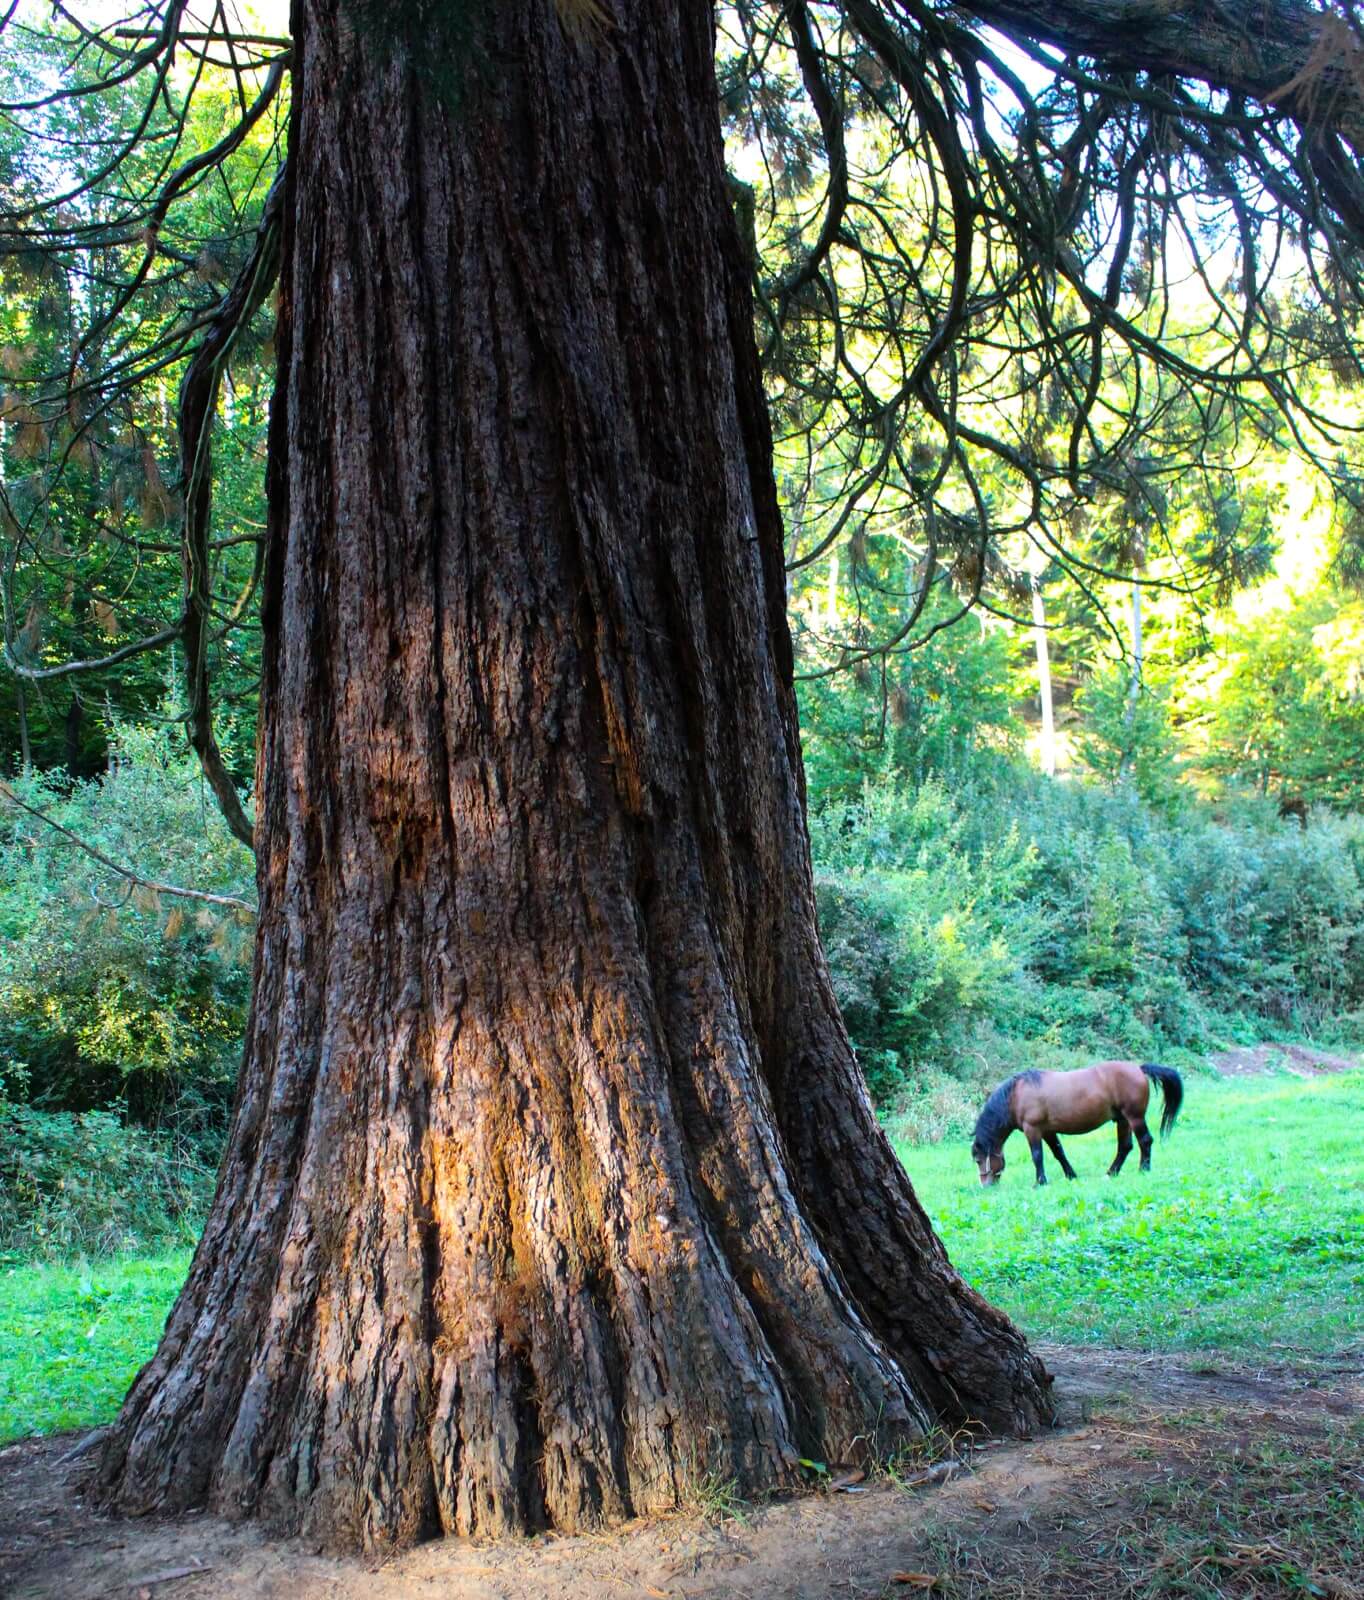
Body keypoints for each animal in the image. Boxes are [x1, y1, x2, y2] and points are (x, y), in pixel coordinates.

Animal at [966, 1062, 1184, 1190]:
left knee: (1145, 1141)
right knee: (1125, 1146)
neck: (1016, 1096)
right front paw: (1071, 1175)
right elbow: (1059, 1153)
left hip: (1135, 1117)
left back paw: (1143, 1169)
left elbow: (1037, 1156)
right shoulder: (1048, 1131)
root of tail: (1138, 1068)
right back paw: (1111, 1173)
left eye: (978, 1160)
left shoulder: (1033, 1129)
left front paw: (1040, 1182)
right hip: (1123, 1120)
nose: (985, 1185)